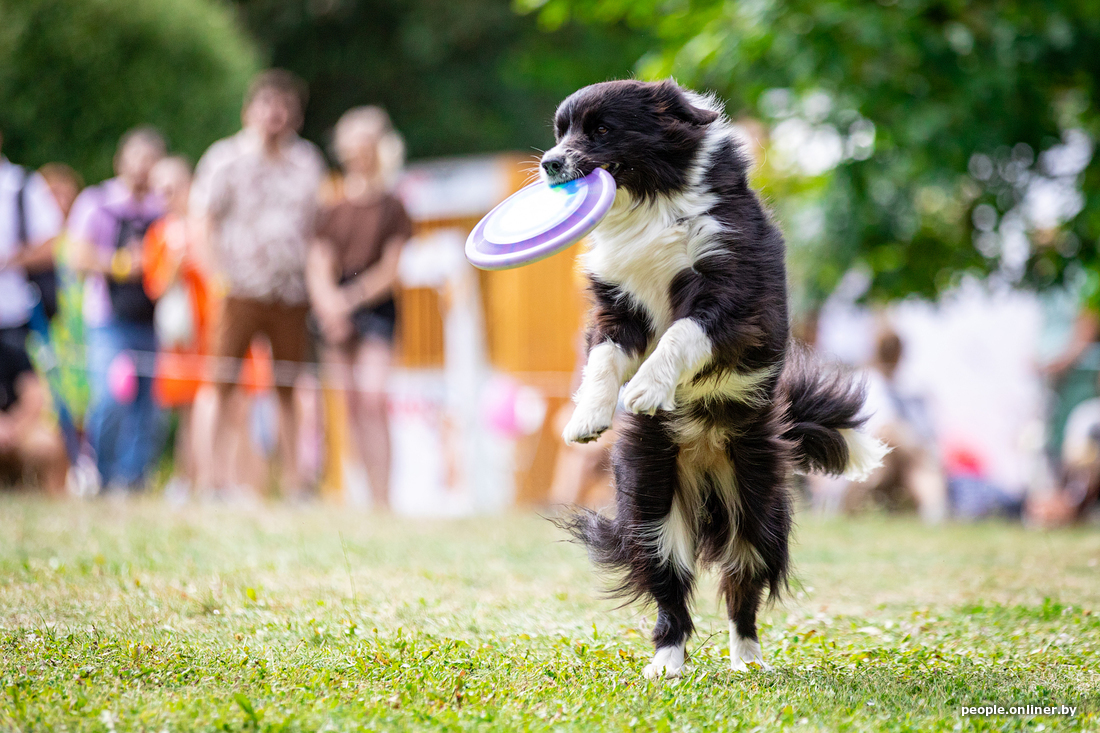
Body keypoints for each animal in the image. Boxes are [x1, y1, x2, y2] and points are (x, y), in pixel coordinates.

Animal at [542, 79, 888, 679]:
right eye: (561, 132)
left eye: (601, 129)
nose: (549, 163)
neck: (651, 205)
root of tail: (703, 458)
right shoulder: (618, 308)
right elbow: (603, 358)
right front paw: (587, 418)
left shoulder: (733, 297)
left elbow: (681, 335)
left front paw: (647, 388)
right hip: (650, 501)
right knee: (669, 587)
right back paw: (666, 663)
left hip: (757, 507)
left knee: (741, 586)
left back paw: (749, 662)